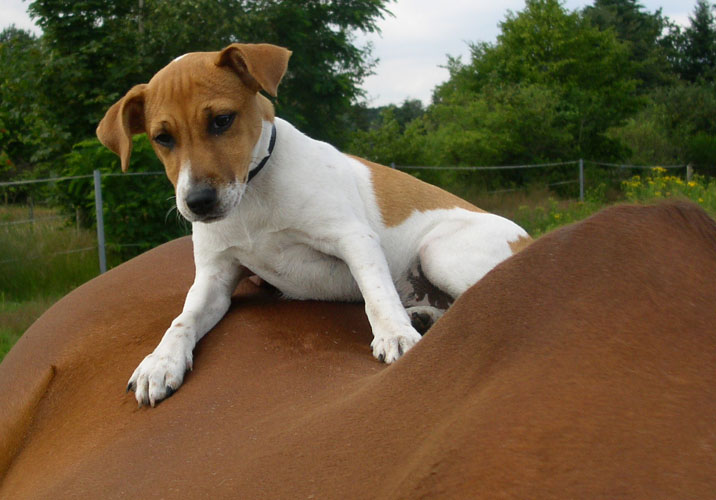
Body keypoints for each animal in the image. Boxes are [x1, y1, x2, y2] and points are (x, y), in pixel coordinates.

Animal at [96, 41, 532, 404]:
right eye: (162, 138)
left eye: (222, 120)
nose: (198, 203)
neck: (253, 197)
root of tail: (527, 239)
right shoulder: (214, 278)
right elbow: (182, 319)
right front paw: (159, 361)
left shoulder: (353, 238)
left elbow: (377, 294)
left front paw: (394, 334)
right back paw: (423, 315)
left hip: (439, 252)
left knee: (483, 293)